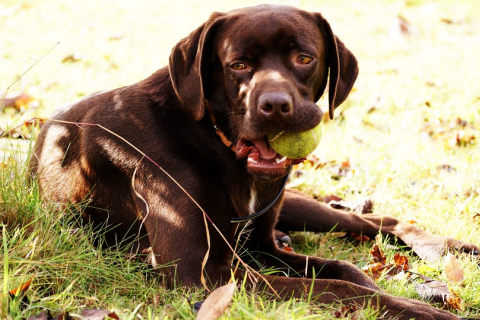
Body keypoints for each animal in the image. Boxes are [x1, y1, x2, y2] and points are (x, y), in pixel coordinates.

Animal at [30, 5, 476, 320]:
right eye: (238, 64)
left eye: (304, 58)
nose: (275, 106)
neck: (212, 139)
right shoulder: (206, 274)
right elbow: (340, 285)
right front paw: (418, 309)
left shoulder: (261, 246)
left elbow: (344, 270)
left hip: (291, 204)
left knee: (374, 220)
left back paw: (451, 246)